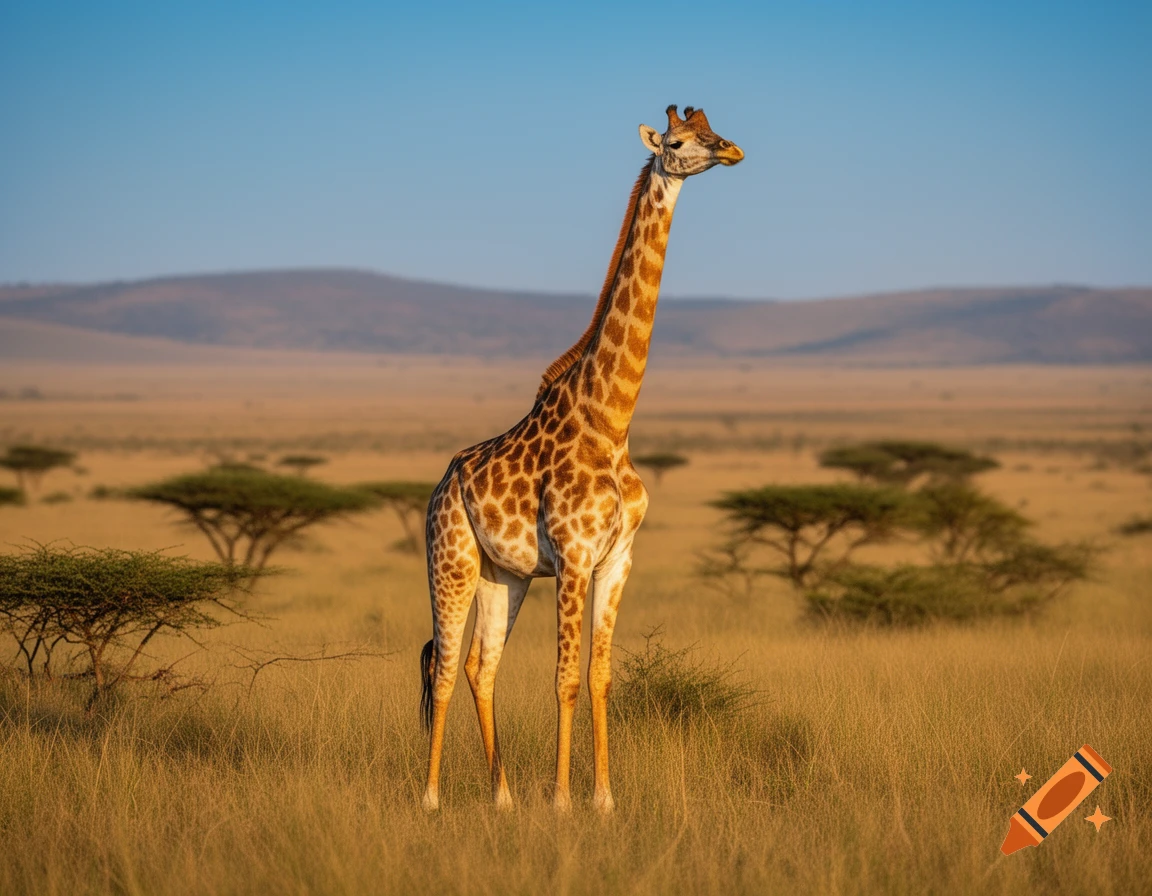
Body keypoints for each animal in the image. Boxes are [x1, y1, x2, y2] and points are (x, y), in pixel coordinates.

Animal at [419, 105, 743, 812]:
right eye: (677, 141)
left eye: (713, 129)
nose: (731, 150)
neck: (611, 421)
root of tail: (441, 485)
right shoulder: (571, 555)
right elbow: (565, 676)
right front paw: (564, 799)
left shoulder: (617, 557)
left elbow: (598, 676)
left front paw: (603, 798)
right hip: (450, 558)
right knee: (445, 665)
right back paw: (429, 798)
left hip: (503, 574)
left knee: (481, 667)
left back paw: (503, 797)